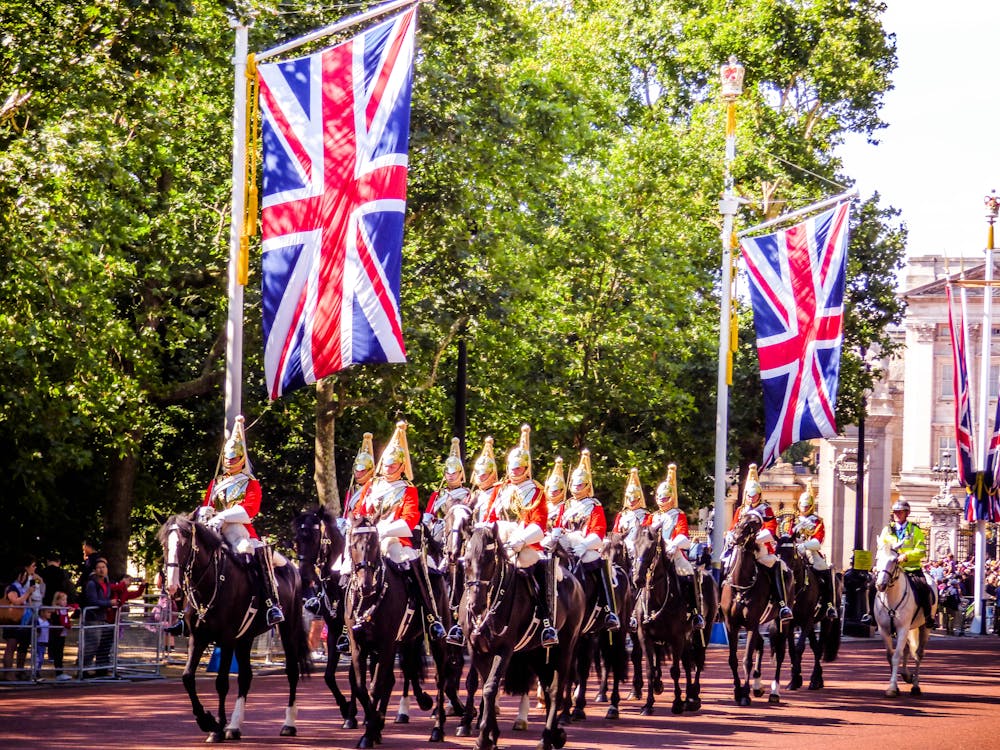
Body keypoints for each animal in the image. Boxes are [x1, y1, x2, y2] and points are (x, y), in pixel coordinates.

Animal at [160, 516, 310, 744]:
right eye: (164, 545)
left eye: (184, 544)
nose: (172, 587)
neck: (211, 583)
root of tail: (291, 567)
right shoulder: (198, 637)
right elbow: (187, 677)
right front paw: (207, 720)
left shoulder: (227, 638)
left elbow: (221, 682)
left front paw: (216, 727)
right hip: (245, 638)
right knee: (245, 677)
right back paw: (234, 726)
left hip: (288, 628)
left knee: (292, 671)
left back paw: (288, 724)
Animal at [292, 506, 358, 728]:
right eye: (296, 538)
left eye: (314, 536)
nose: (304, 577)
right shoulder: (334, 633)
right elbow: (329, 676)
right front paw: (346, 709)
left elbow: (353, 676)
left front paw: (352, 714)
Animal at [344, 516, 454, 750]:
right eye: (353, 544)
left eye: (374, 544)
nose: (366, 585)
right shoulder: (359, 646)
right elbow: (361, 686)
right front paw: (374, 727)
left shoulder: (386, 644)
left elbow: (375, 686)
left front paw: (368, 734)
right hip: (406, 641)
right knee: (401, 673)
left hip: (435, 641)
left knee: (440, 677)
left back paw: (437, 729)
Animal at [460, 524, 584, 750]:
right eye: (466, 559)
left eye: (489, 560)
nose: (476, 605)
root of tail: (574, 580)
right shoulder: (476, 650)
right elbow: (486, 686)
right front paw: (491, 736)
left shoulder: (504, 649)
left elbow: (490, 687)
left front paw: (483, 738)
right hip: (537, 653)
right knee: (546, 687)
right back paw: (555, 734)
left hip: (565, 648)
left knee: (555, 690)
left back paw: (547, 738)